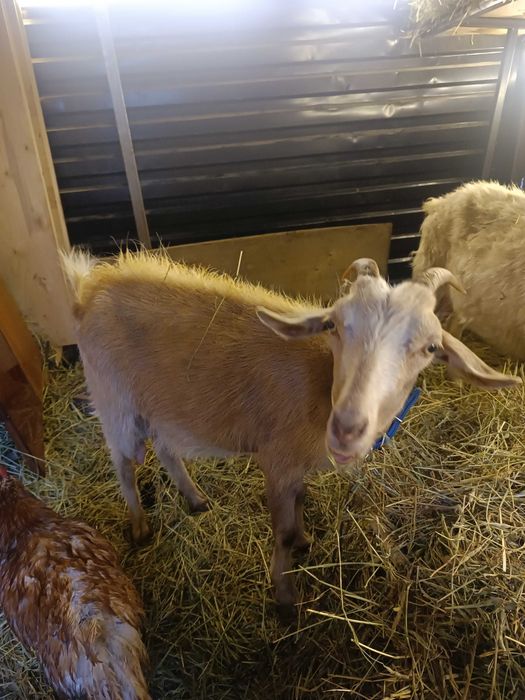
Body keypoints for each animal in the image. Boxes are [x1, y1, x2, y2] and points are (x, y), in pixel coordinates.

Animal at [62, 249, 520, 616]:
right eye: (334, 325)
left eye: (430, 348)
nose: (347, 429)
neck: (321, 382)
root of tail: (88, 290)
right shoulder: (277, 461)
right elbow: (279, 530)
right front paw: (285, 599)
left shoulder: (296, 467)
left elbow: (301, 499)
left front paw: (303, 542)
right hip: (114, 400)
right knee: (124, 462)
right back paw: (139, 526)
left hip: (160, 404)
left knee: (166, 448)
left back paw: (195, 499)